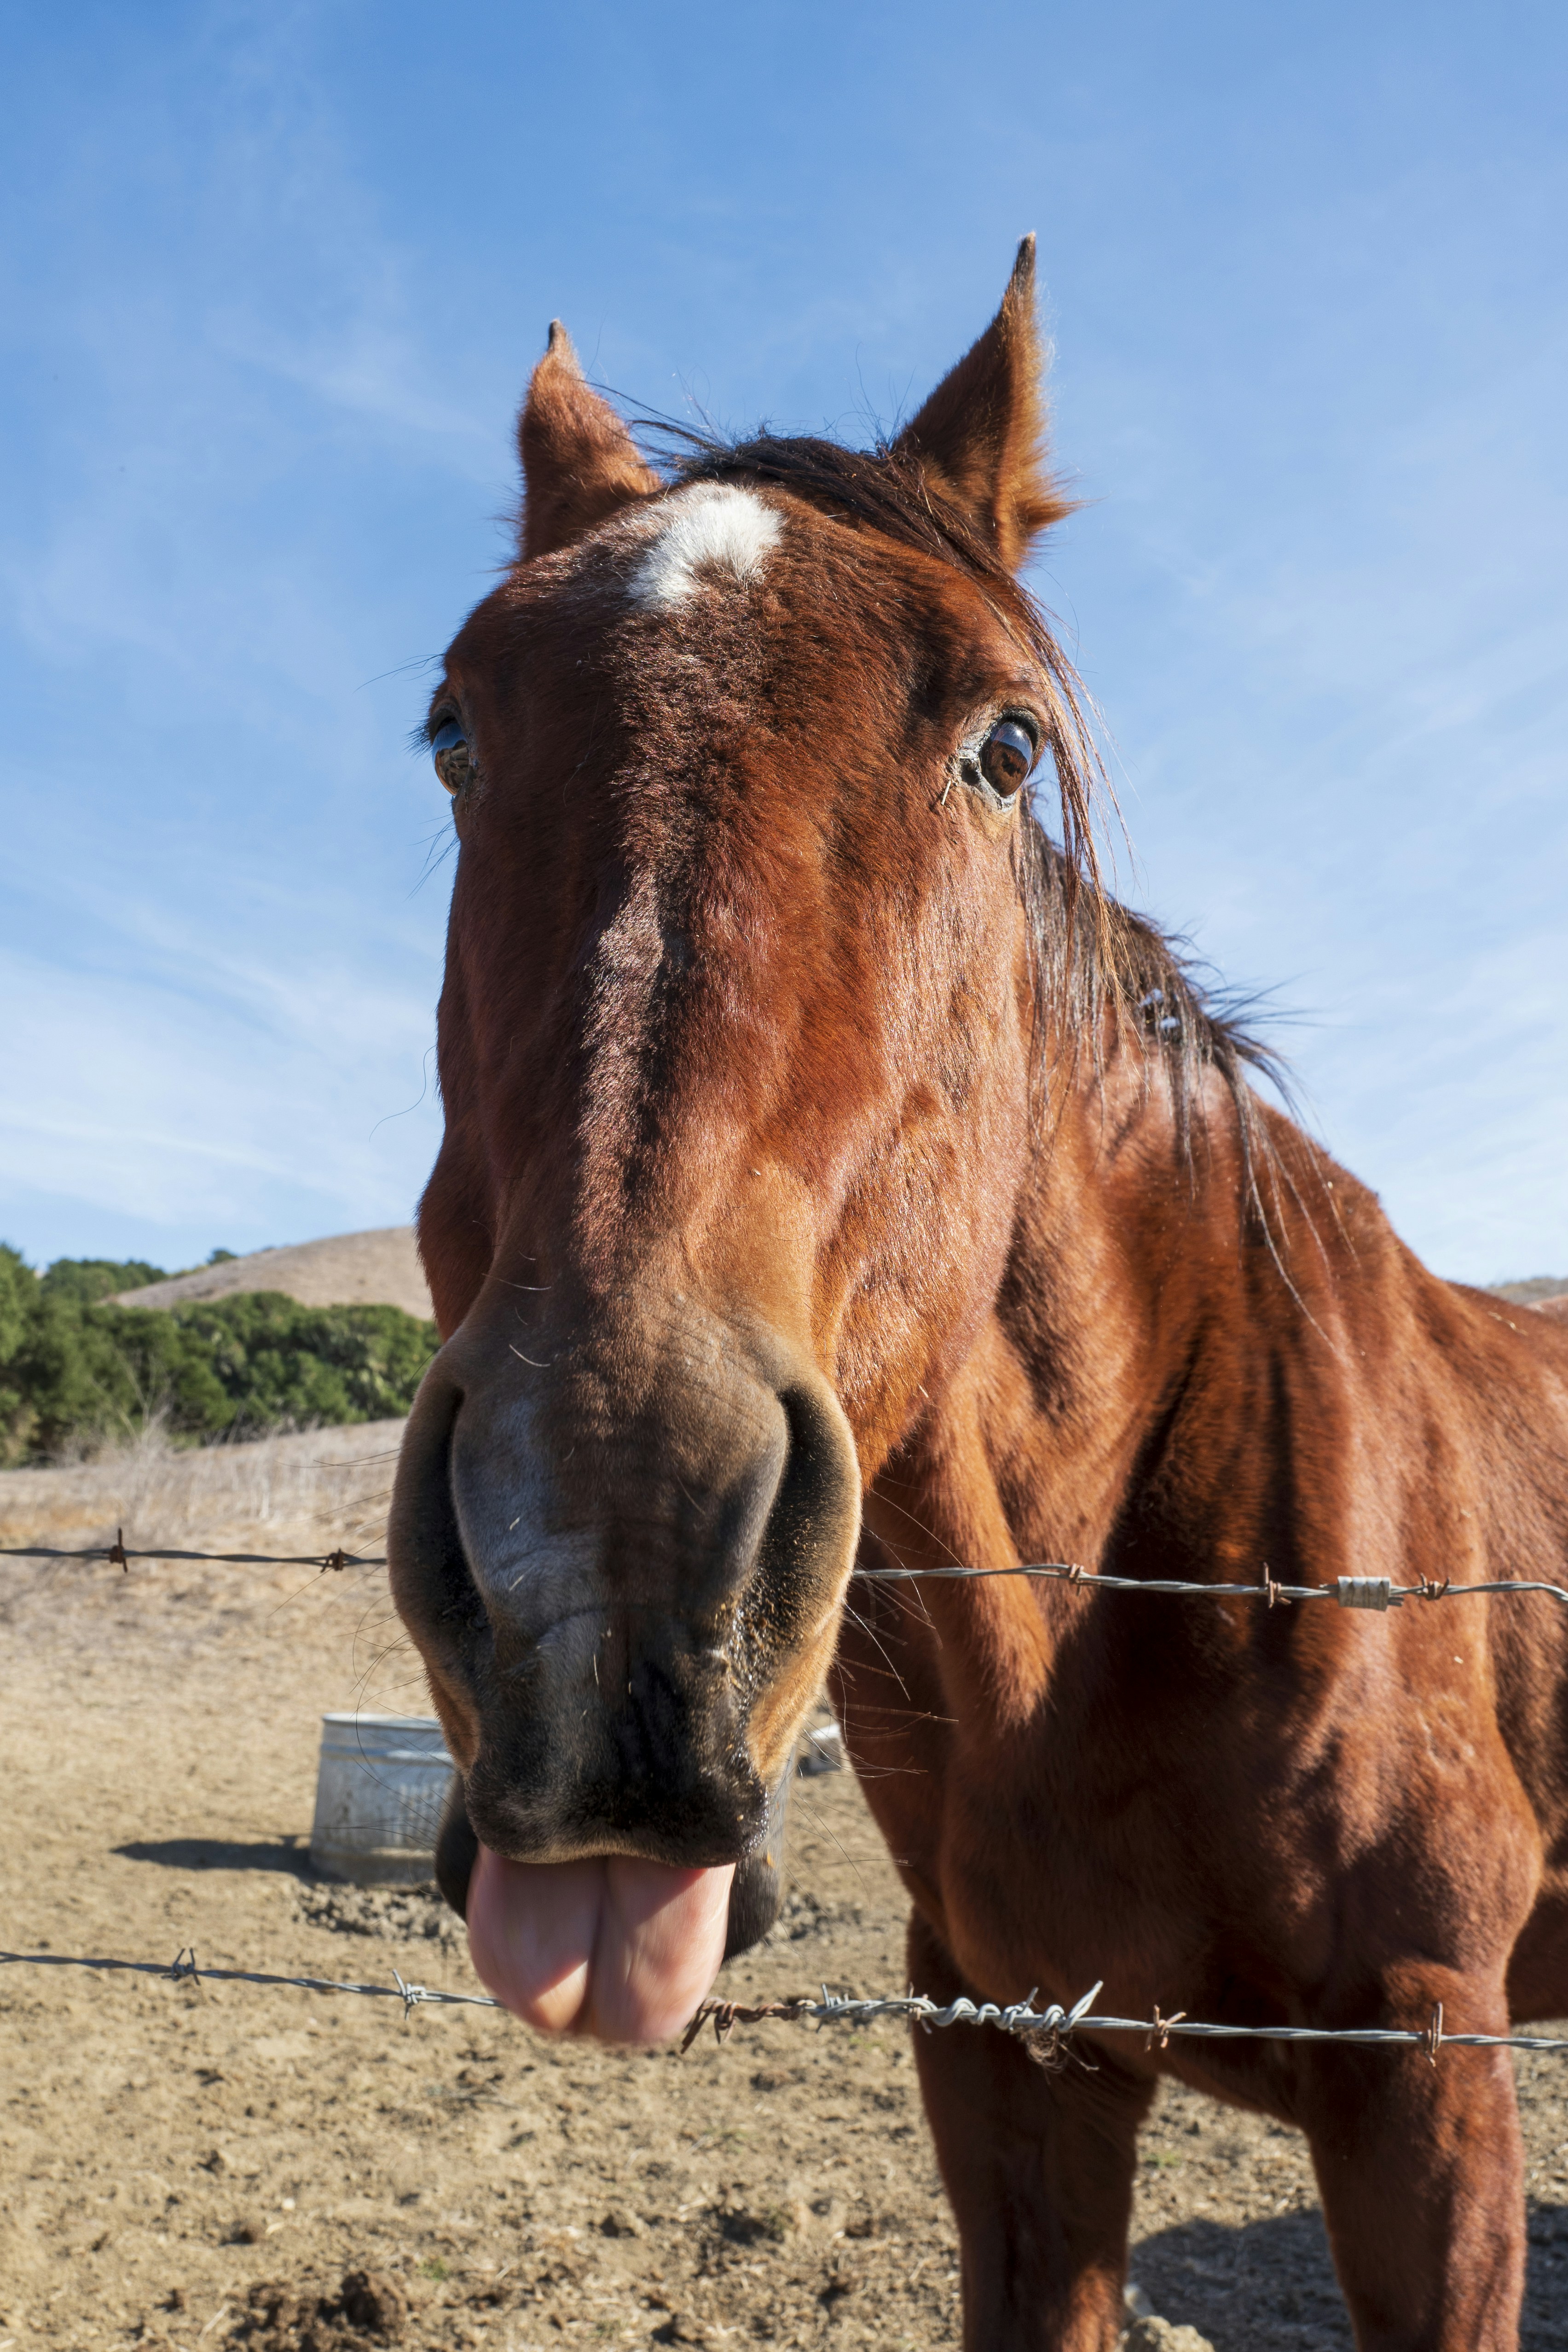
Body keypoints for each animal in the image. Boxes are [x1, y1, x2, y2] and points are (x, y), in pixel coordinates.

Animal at [388, 238, 1568, 2350]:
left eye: (1000, 744)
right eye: (452, 727)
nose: (600, 1557)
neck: (1124, 1582)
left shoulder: (1427, 2082)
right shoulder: (1009, 2056)